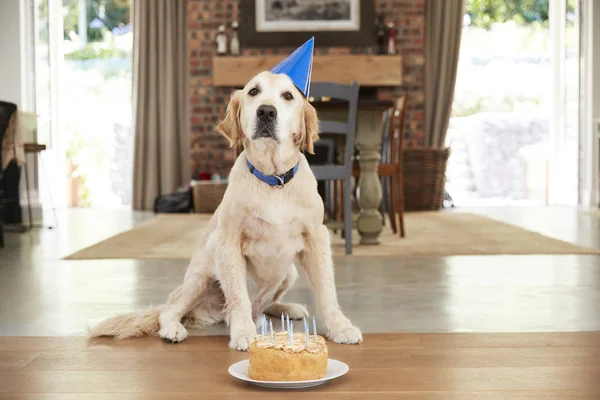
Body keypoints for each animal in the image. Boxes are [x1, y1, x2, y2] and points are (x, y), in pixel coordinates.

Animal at [88, 71, 360, 350]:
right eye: (253, 91)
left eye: (288, 96)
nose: (266, 112)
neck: (273, 181)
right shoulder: (228, 241)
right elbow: (238, 294)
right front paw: (243, 333)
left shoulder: (316, 237)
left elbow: (327, 291)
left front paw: (341, 327)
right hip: (202, 274)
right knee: (170, 311)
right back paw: (174, 329)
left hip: (288, 273)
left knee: (266, 305)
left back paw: (288, 308)